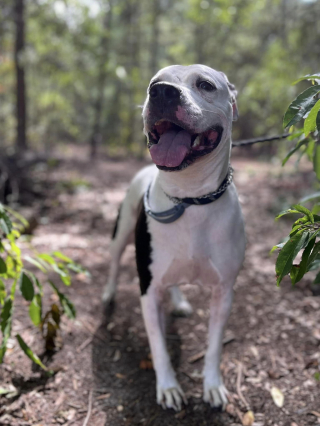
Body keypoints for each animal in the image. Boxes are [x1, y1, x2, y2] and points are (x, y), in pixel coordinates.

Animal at [102, 65, 245, 412]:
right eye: (153, 84)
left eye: (205, 85)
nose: (163, 92)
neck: (190, 199)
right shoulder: (148, 290)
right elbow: (158, 347)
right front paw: (168, 387)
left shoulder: (224, 292)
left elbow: (214, 347)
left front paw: (213, 386)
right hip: (121, 230)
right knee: (113, 262)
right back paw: (109, 293)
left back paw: (179, 301)